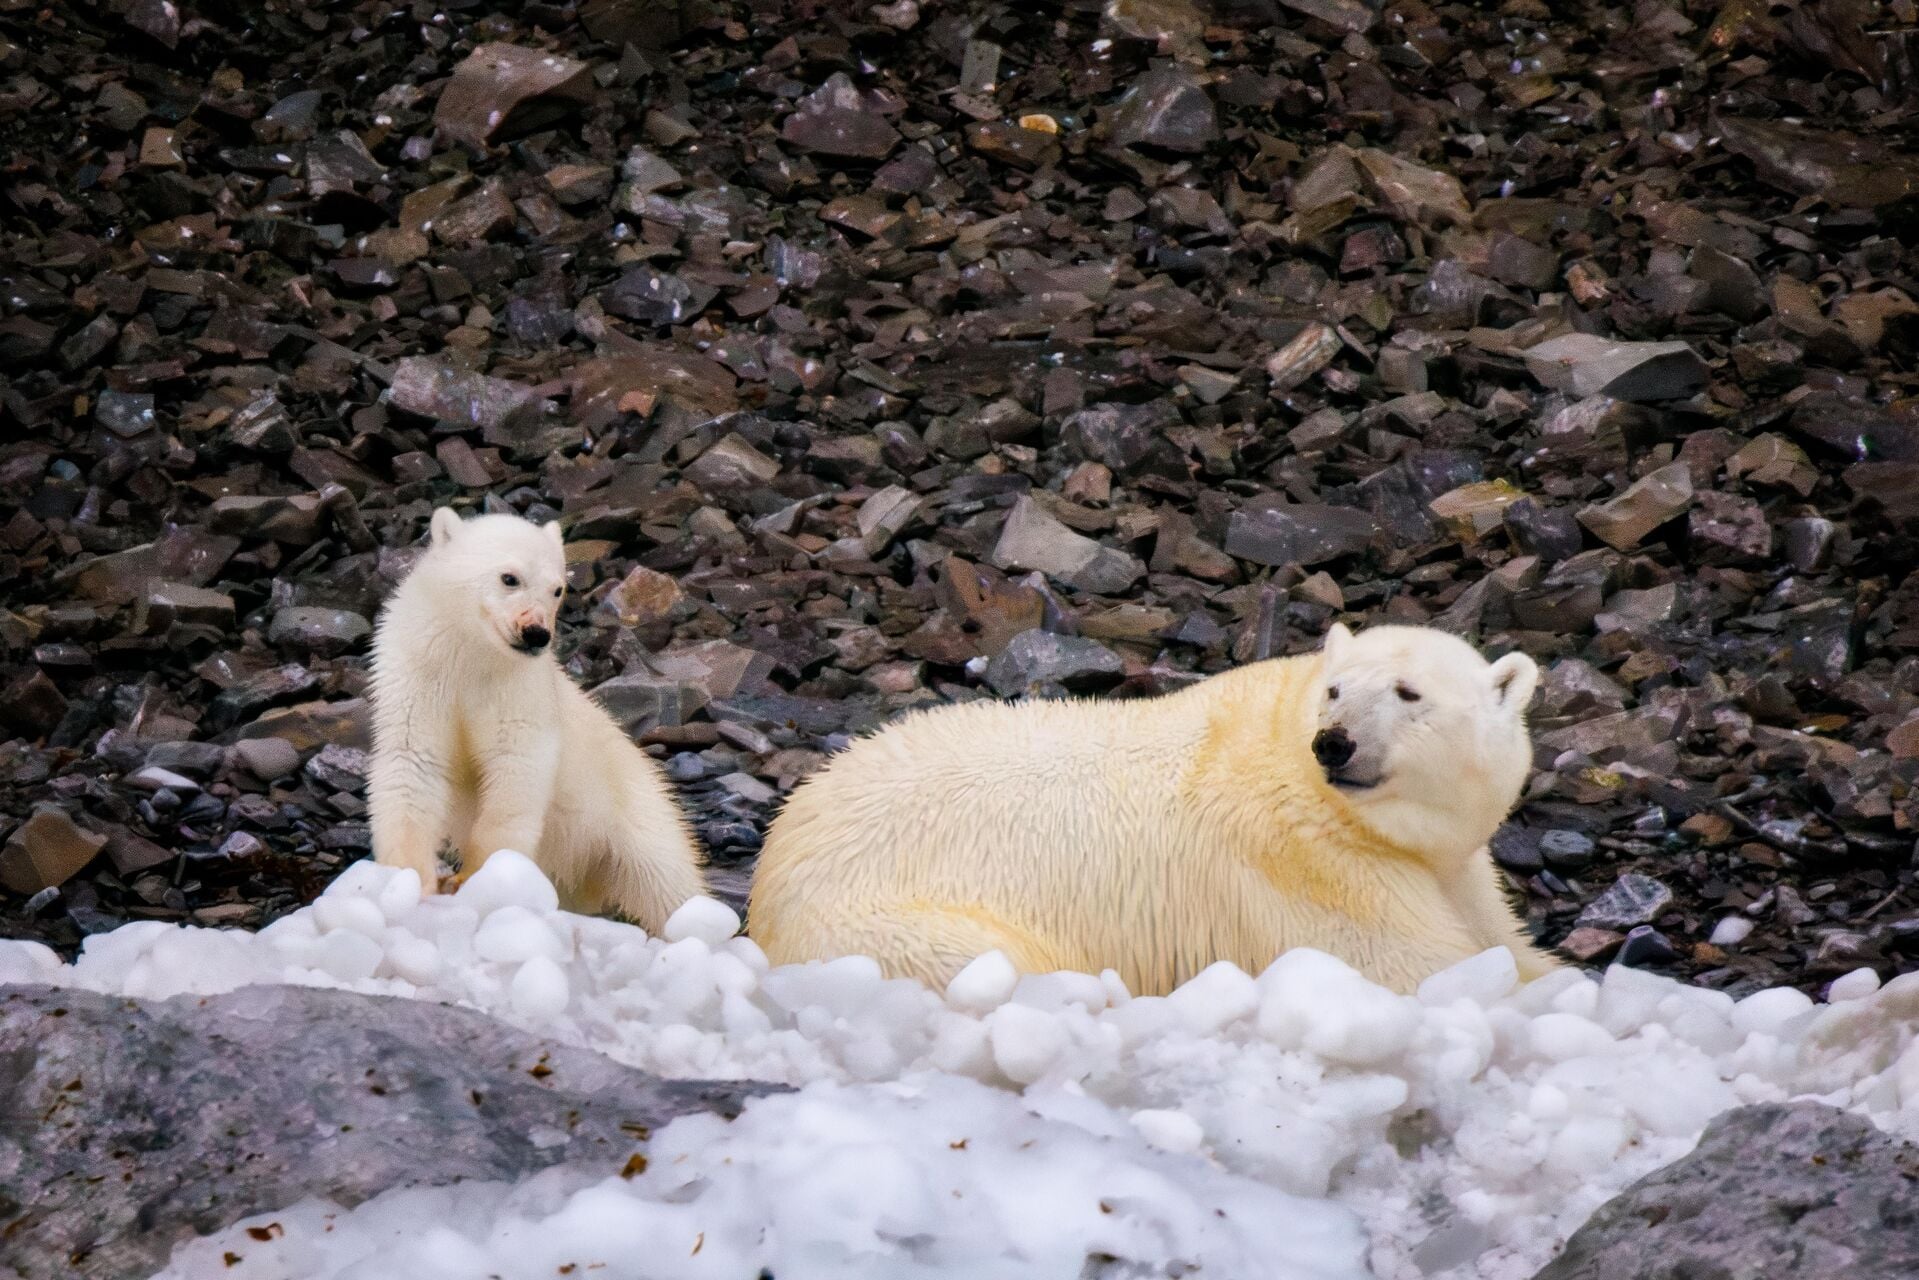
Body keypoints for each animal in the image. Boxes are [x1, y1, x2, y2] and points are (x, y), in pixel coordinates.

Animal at [366, 507, 706, 933]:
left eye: (557, 589)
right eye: (510, 577)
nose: (535, 633)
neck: (470, 652)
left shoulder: (518, 686)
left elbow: (516, 764)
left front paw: (480, 878)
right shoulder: (418, 674)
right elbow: (413, 760)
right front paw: (409, 882)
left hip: (633, 810)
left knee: (666, 882)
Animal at [746, 621, 1561, 996]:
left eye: (1407, 693)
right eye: (1335, 689)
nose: (1334, 743)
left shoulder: (1452, 868)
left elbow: (1499, 940)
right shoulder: (1308, 865)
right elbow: (1414, 969)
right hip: (885, 923)